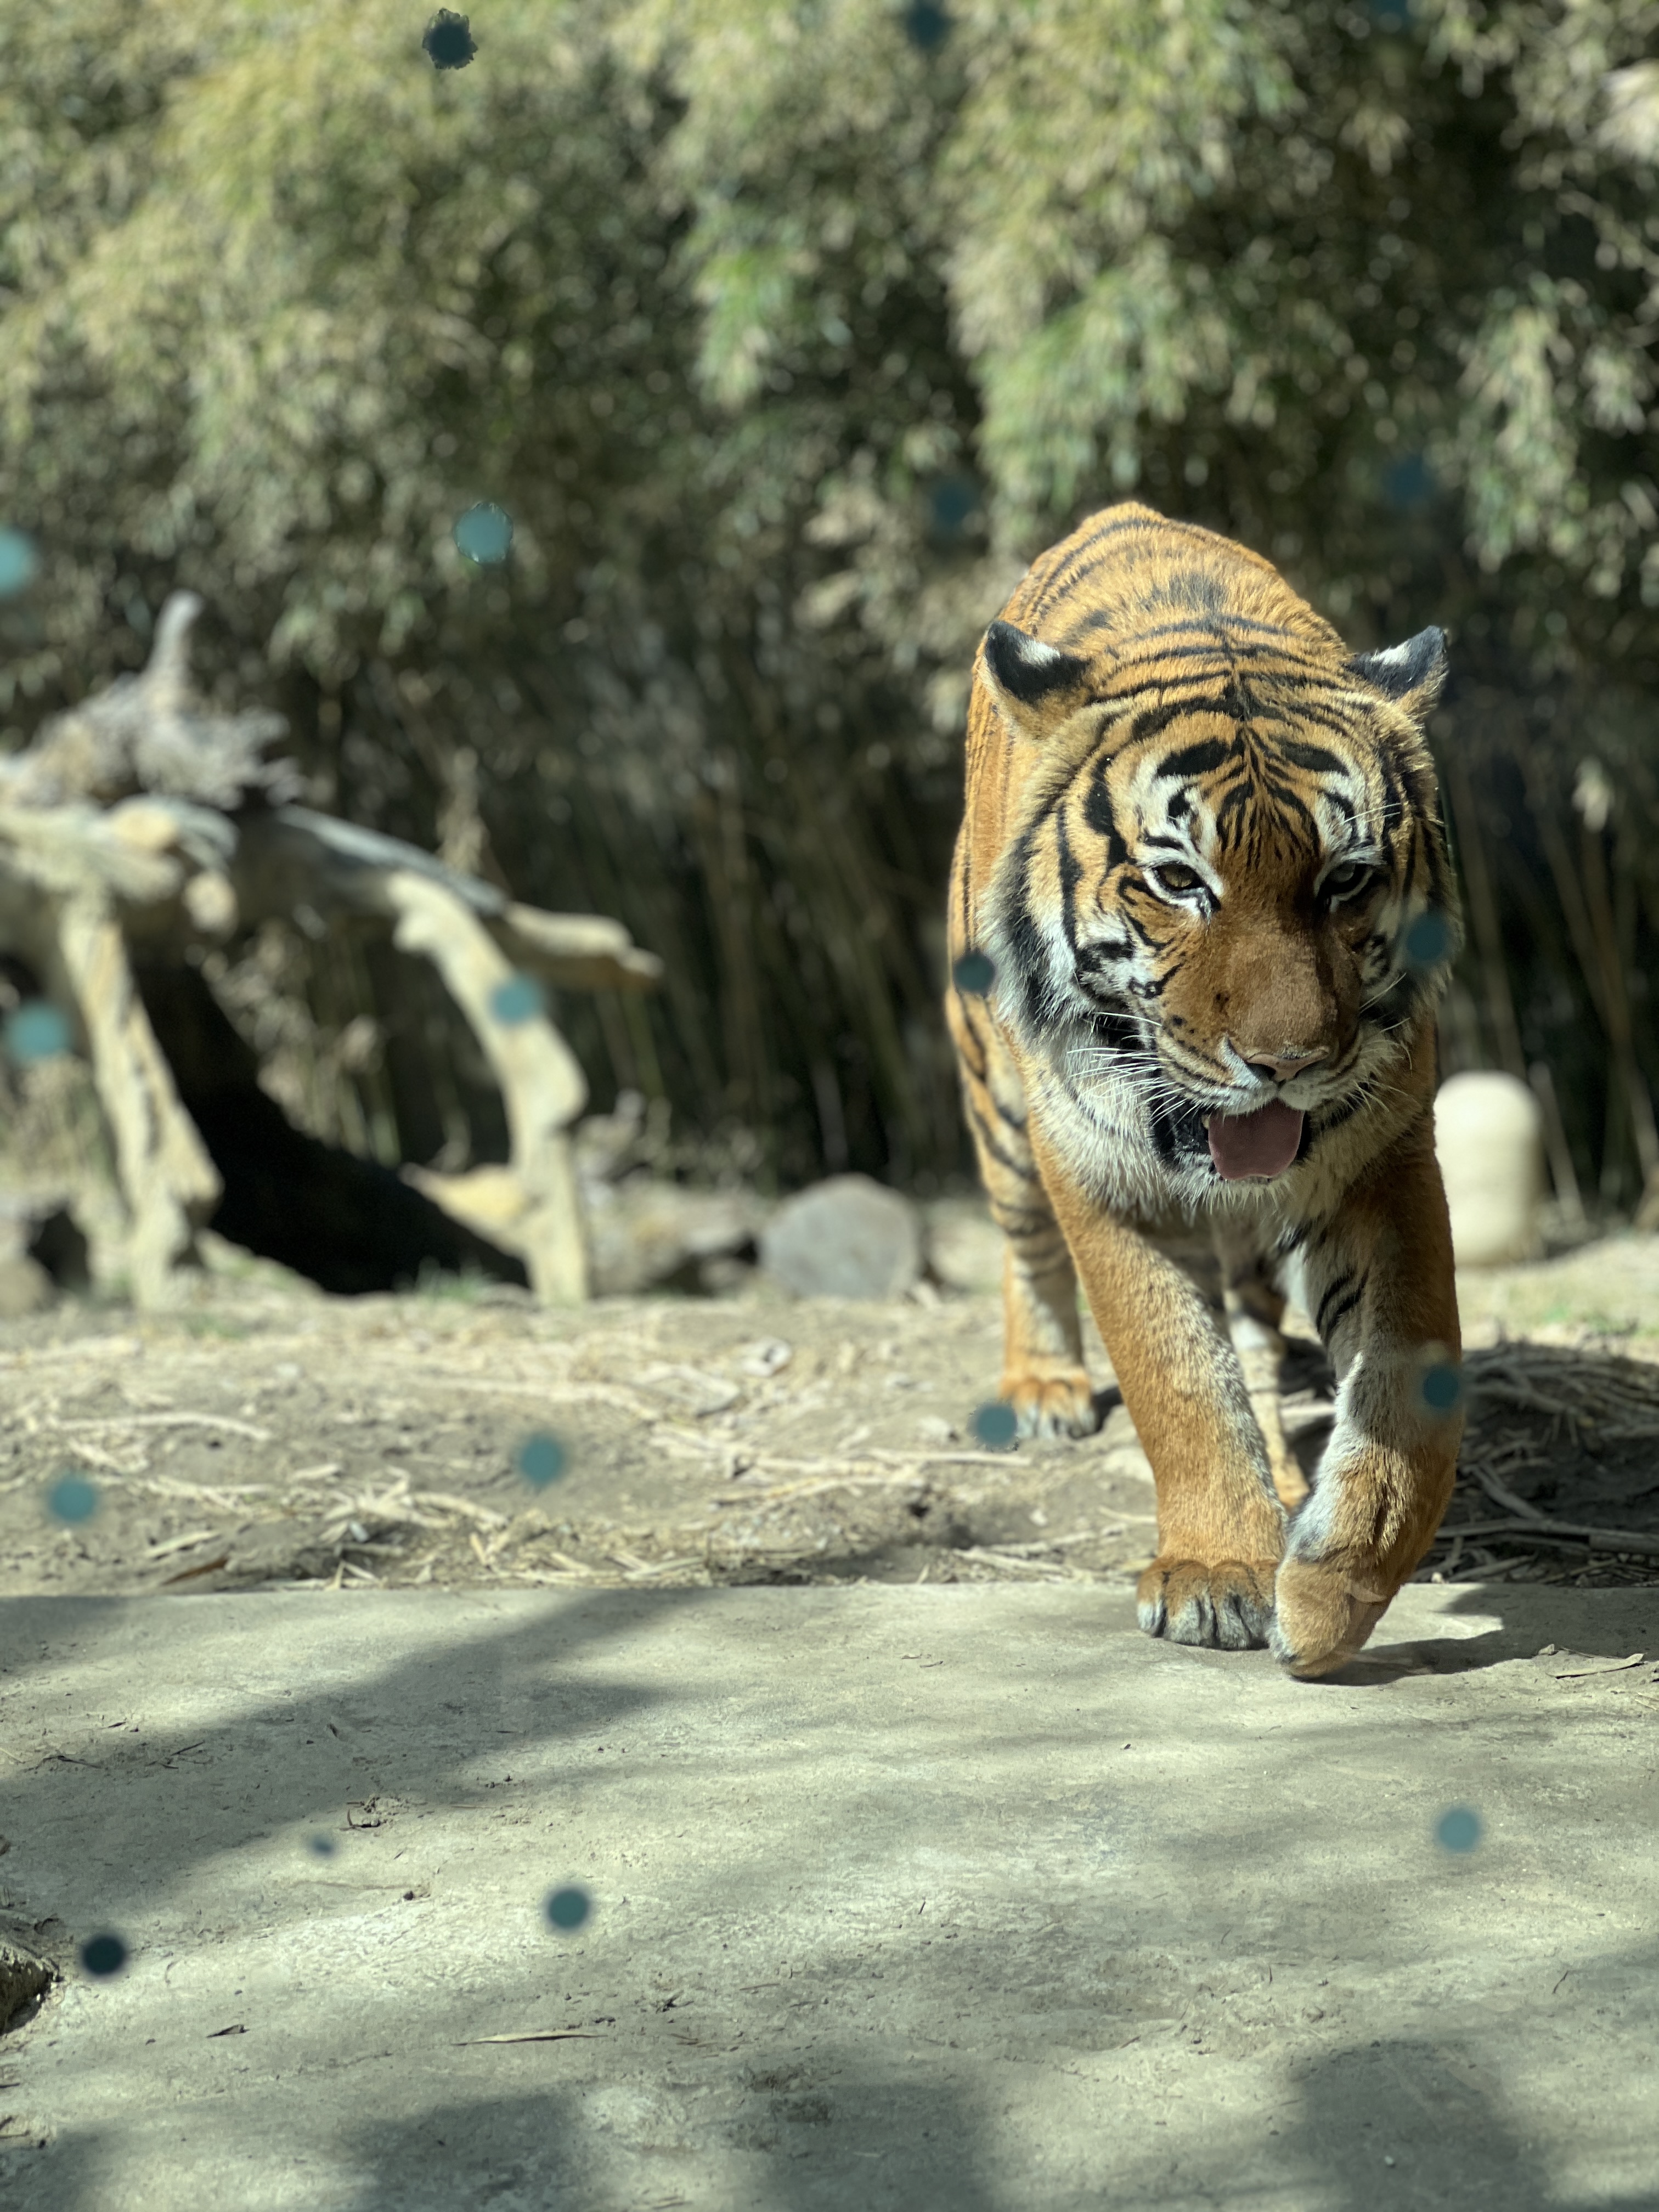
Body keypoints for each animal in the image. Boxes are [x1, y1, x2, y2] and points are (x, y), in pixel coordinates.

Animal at [946, 502, 1469, 1672]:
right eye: (1179, 881)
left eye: (1345, 881)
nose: (1286, 1064)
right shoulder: (1096, 1169)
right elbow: (1173, 1372)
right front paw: (1221, 1570)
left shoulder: (1382, 1151)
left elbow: (1410, 1374)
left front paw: (1331, 1584)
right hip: (994, 1100)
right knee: (1018, 1238)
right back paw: (1040, 1387)